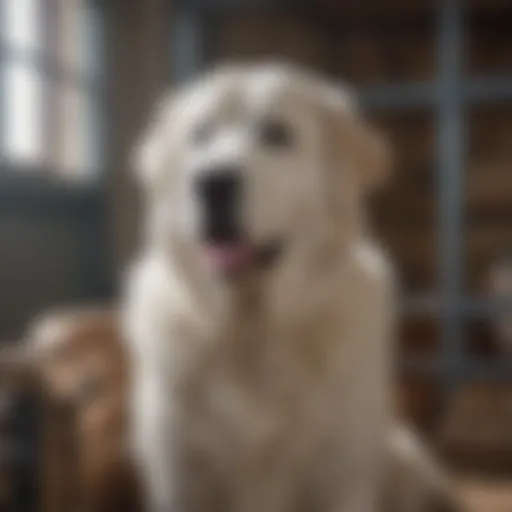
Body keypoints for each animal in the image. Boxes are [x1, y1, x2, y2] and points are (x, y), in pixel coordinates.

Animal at [124, 64, 412, 512]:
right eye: (200, 135)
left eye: (277, 134)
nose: (212, 182)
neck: (254, 331)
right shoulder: (182, 480)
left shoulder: (340, 480)